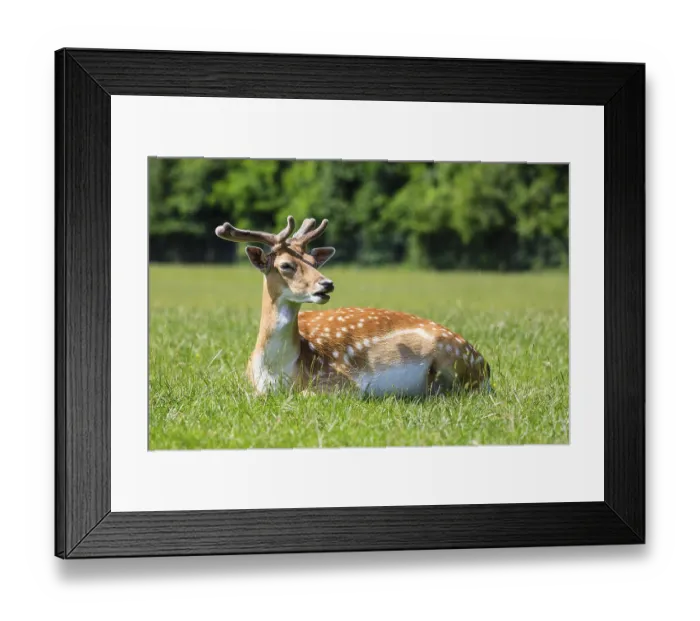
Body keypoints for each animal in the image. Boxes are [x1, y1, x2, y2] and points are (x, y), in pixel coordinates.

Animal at [215, 216, 491, 396]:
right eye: (286, 265)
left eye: (314, 261)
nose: (326, 284)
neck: (276, 371)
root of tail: (486, 365)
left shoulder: (343, 382)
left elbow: (308, 394)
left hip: (453, 359)